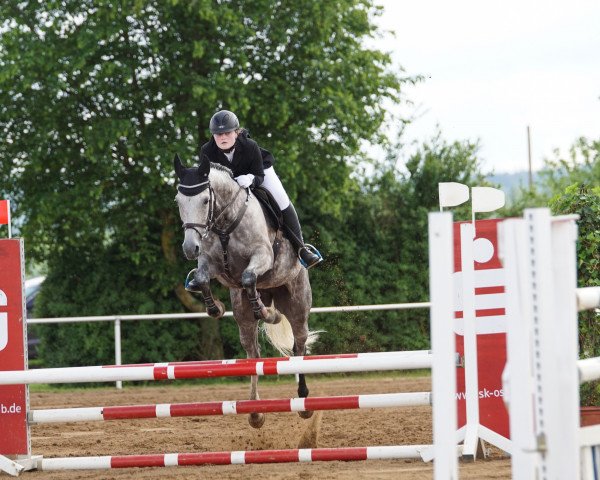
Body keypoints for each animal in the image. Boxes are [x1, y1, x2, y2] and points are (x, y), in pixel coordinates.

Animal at [172, 154, 318, 428]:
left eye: (205, 200)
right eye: (178, 201)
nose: (189, 248)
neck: (225, 224)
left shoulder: (263, 256)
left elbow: (249, 276)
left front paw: (266, 312)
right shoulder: (211, 263)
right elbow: (202, 278)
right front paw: (215, 308)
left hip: (298, 303)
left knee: (299, 346)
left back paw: (303, 400)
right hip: (242, 313)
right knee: (253, 355)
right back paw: (255, 411)